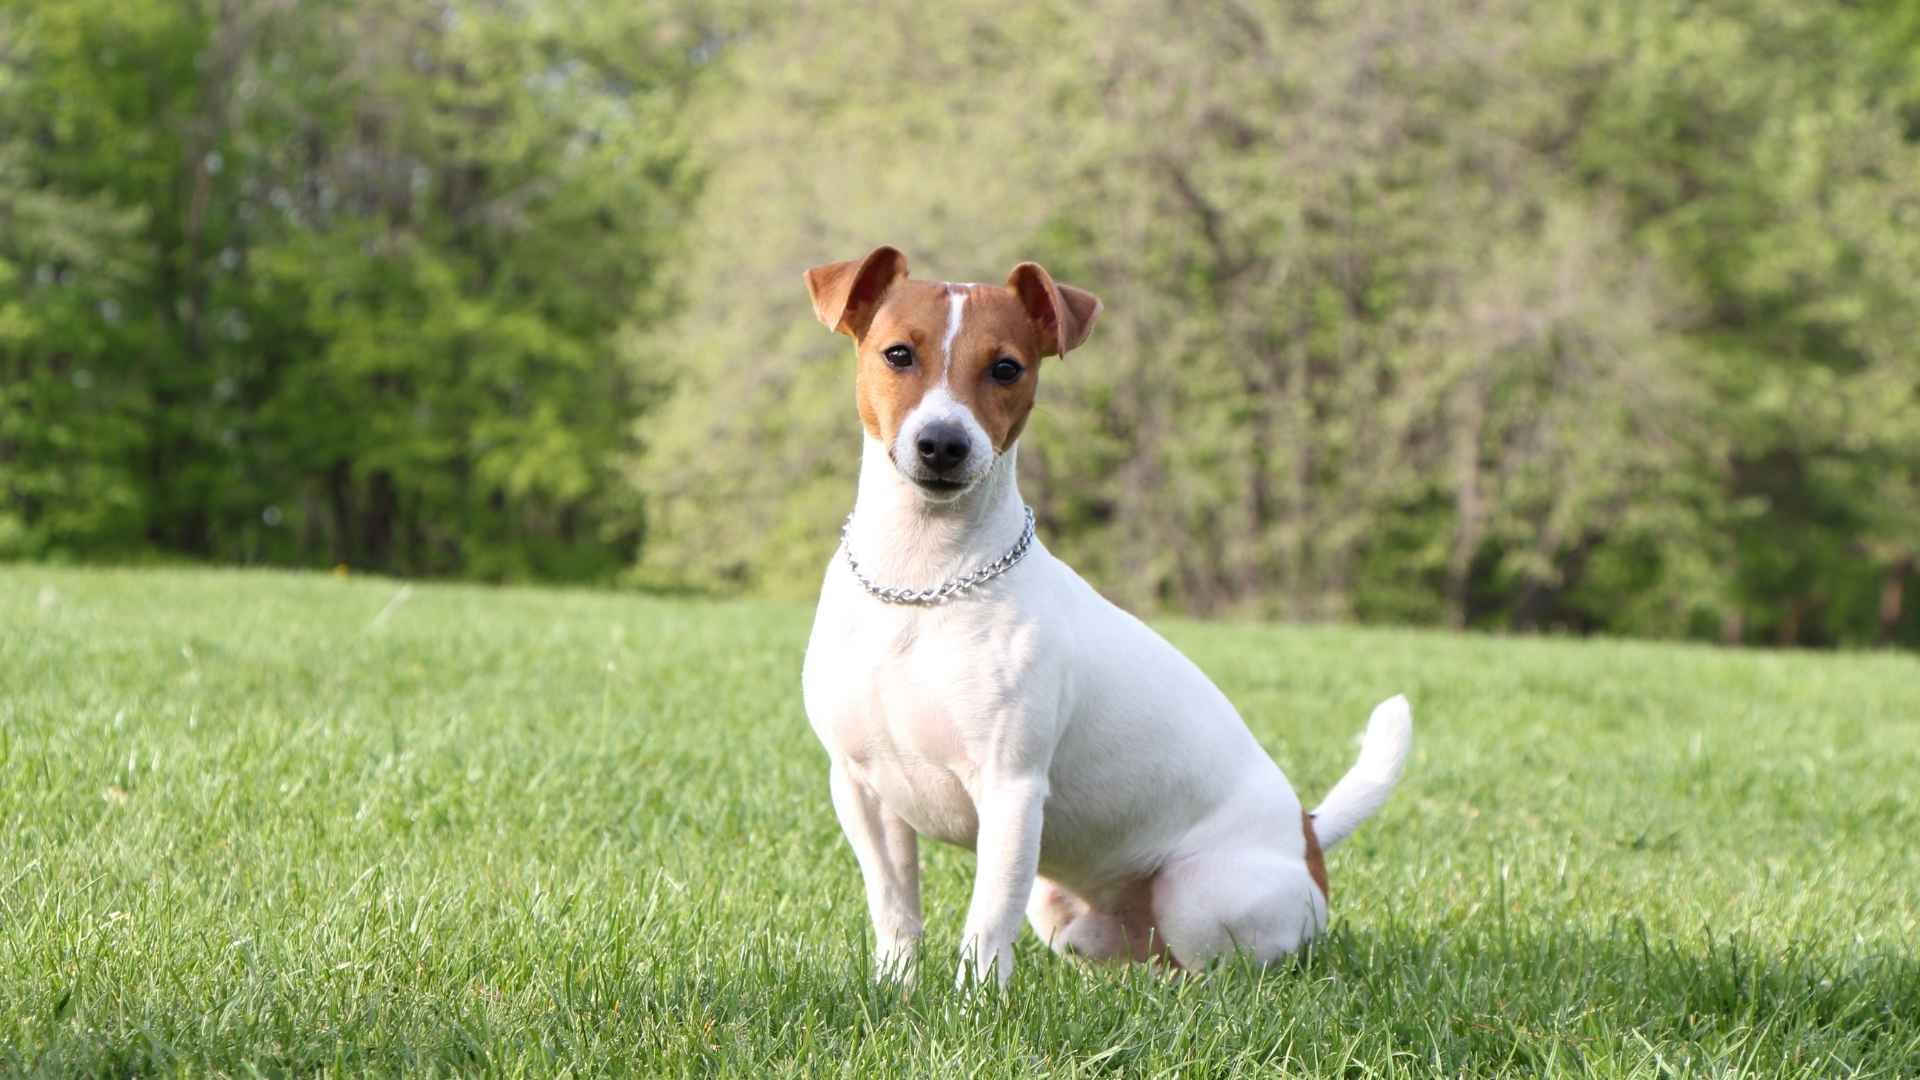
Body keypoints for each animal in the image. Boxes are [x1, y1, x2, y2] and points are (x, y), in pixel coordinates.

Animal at [794, 245, 1413, 983]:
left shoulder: (1011, 791)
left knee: (1218, 970)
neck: (926, 580)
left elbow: (985, 924)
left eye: (1007, 368)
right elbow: (894, 914)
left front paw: (973, 1002)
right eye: (897, 354)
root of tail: (1308, 834)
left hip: (1196, 895)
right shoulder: (862, 792)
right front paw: (897, 990)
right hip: (1061, 909)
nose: (942, 444)